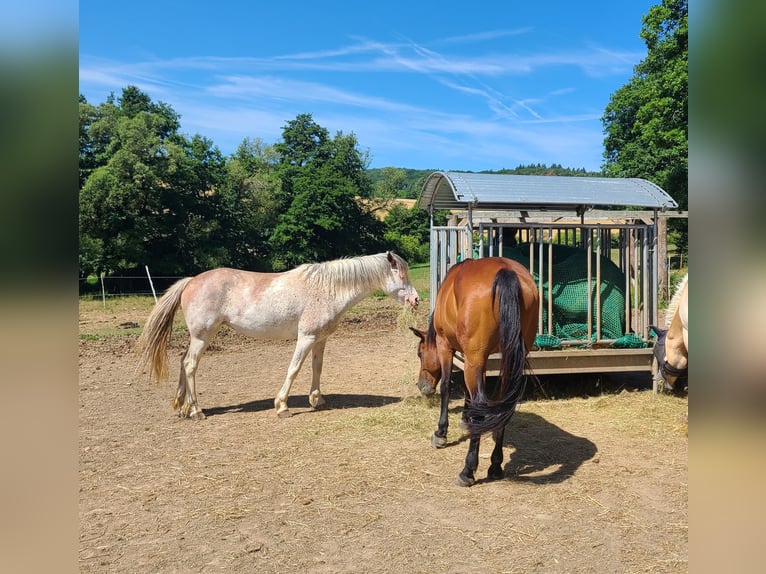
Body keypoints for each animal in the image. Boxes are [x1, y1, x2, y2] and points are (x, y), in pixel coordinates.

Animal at [136, 252, 419, 419]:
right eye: (400, 273)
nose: (416, 299)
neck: (327, 289)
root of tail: (191, 281)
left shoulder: (321, 339)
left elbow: (317, 368)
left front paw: (317, 400)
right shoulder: (306, 338)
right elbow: (294, 369)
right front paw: (282, 405)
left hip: (200, 337)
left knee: (183, 361)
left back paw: (181, 405)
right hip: (203, 336)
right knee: (190, 365)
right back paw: (196, 411)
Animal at [410, 257, 539, 487]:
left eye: (420, 353)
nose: (422, 386)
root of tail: (506, 272)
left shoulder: (446, 347)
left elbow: (447, 387)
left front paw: (441, 433)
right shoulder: (479, 361)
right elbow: (469, 395)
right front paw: (465, 419)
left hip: (475, 358)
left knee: (480, 404)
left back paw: (467, 471)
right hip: (507, 359)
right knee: (503, 405)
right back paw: (495, 465)